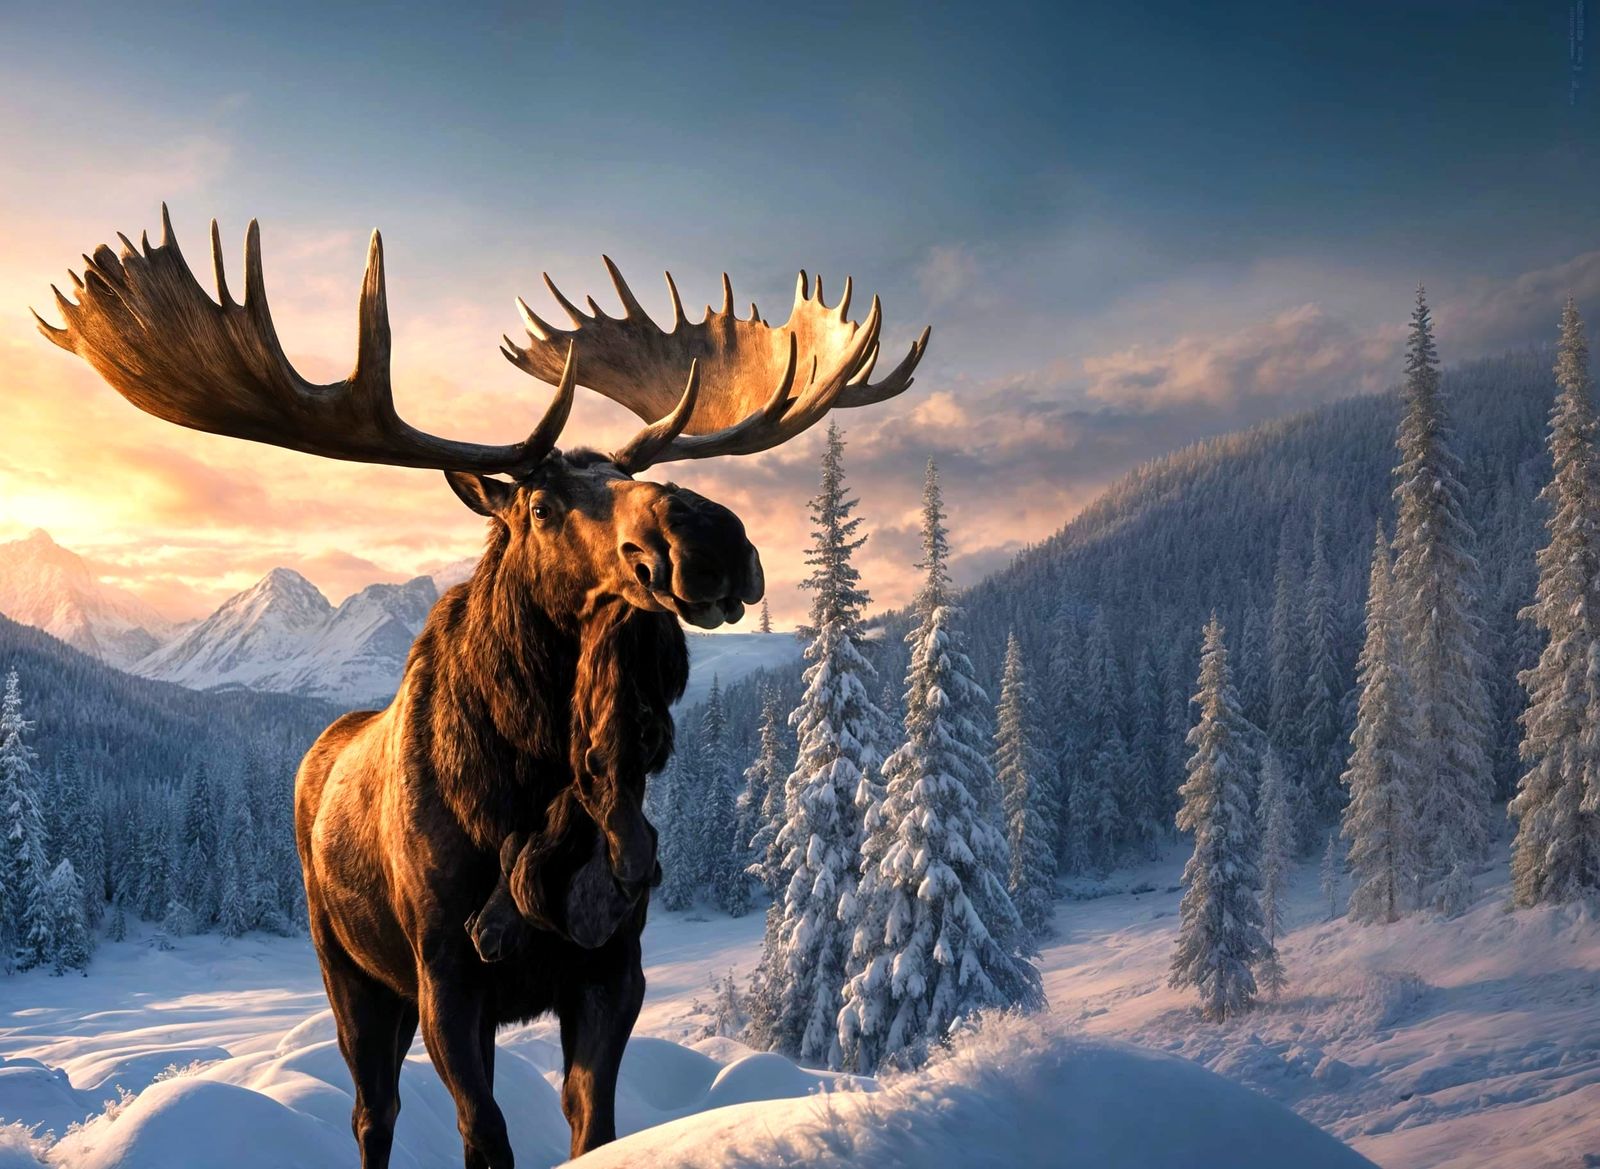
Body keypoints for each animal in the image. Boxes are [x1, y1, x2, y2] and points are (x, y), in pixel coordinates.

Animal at [34, 207, 928, 1169]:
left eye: (624, 478)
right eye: (540, 505)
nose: (711, 534)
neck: (544, 783)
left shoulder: (613, 968)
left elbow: (591, 1126)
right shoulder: (446, 975)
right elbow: (484, 1134)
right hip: (346, 968)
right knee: (372, 1111)